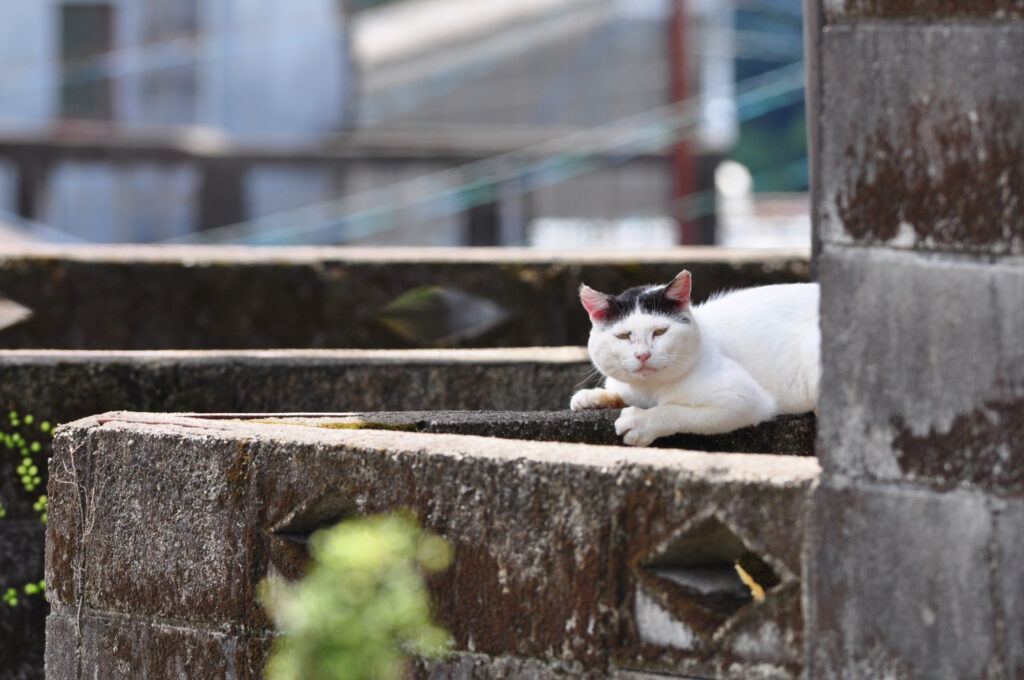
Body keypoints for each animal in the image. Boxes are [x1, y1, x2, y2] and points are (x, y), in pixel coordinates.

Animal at [573, 270, 819, 446]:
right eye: (624, 336)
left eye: (660, 332)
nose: (643, 355)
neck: (648, 389)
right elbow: (620, 393)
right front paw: (592, 397)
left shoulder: (744, 398)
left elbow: (674, 410)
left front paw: (640, 422)